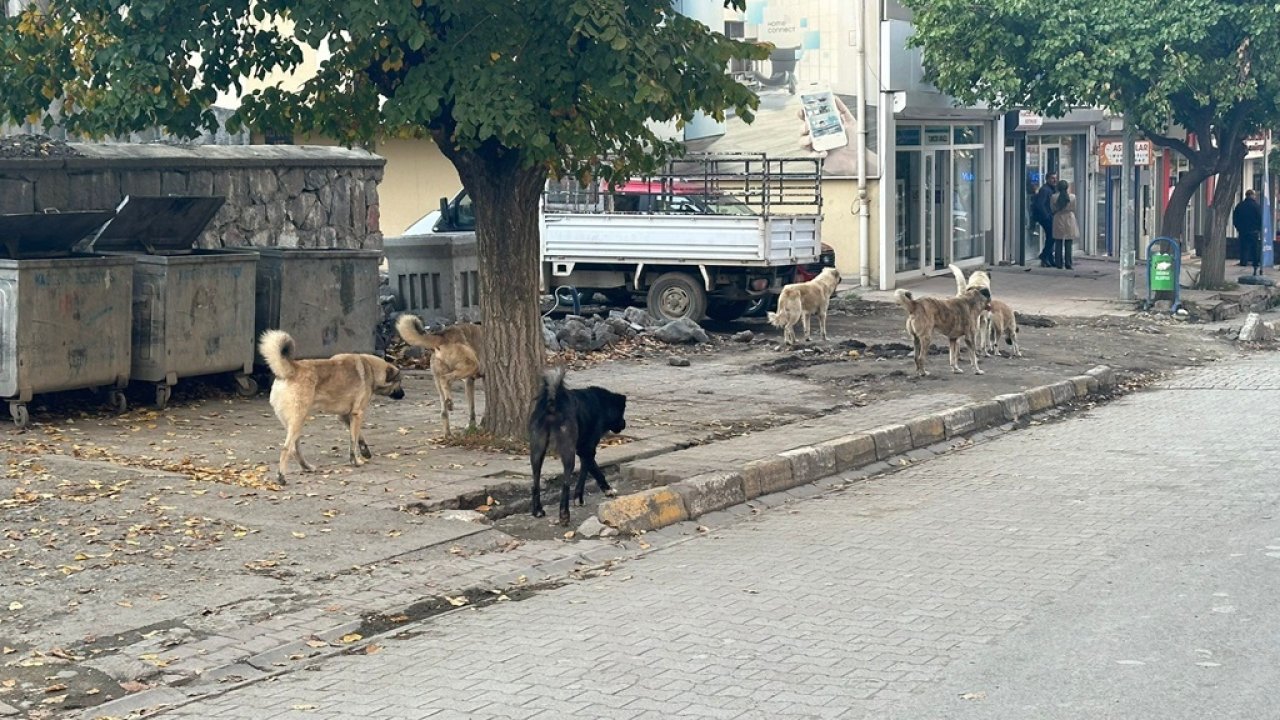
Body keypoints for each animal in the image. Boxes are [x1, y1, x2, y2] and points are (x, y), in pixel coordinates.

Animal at [257, 330, 401, 481]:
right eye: (399, 382)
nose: (403, 394)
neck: (371, 369)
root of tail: (292, 368)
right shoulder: (358, 414)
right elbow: (353, 441)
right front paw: (355, 460)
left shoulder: (345, 416)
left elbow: (358, 436)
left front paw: (364, 450)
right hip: (298, 420)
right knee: (286, 449)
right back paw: (281, 477)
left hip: (293, 423)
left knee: (295, 449)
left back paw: (306, 467)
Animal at [527, 366, 627, 525]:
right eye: (622, 412)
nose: (624, 424)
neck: (602, 404)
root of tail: (553, 402)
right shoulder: (588, 449)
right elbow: (589, 472)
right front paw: (588, 496)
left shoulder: (583, 450)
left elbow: (591, 469)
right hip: (567, 451)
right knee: (566, 483)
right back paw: (564, 515)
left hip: (537, 450)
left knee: (535, 482)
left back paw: (537, 510)